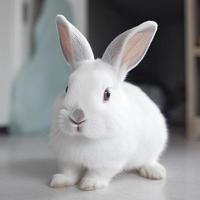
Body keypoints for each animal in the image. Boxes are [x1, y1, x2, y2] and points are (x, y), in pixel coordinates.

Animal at [49, 14, 167, 191]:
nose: (77, 116)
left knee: (150, 160)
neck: (83, 139)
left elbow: (98, 173)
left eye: (107, 94)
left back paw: (155, 172)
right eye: (67, 88)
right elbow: (70, 172)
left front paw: (89, 184)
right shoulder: (68, 160)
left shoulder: (108, 163)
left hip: (155, 144)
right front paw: (59, 181)